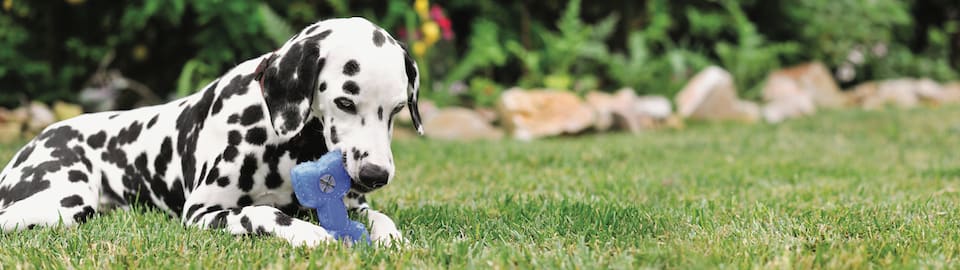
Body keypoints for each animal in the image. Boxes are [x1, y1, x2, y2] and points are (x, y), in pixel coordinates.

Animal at [0, 17, 424, 247]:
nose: (375, 175)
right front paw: (311, 235)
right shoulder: (202, 212)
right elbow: (263, 212)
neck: (288, 144)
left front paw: (393, 240)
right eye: (345, 102)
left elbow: (381, 218)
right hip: (64, 202)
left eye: (398, 109)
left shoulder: (354, 204)